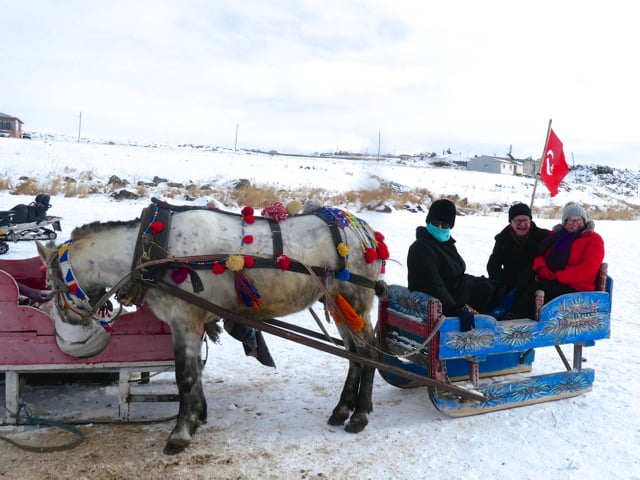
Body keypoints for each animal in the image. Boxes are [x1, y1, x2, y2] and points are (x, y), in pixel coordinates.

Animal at [37, 201, 388, 456]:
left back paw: (359, 416)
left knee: (368, 354)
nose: (66, 322)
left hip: (355, 301)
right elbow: (195, 372)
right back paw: (343, 409)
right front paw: (197, 417)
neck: (153, 252)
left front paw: (180, 434)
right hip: (339, 306)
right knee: (354, 356)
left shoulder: (184, 320)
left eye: (52, 284)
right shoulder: (194, 322)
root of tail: (366, 233)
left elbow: (185, 376)